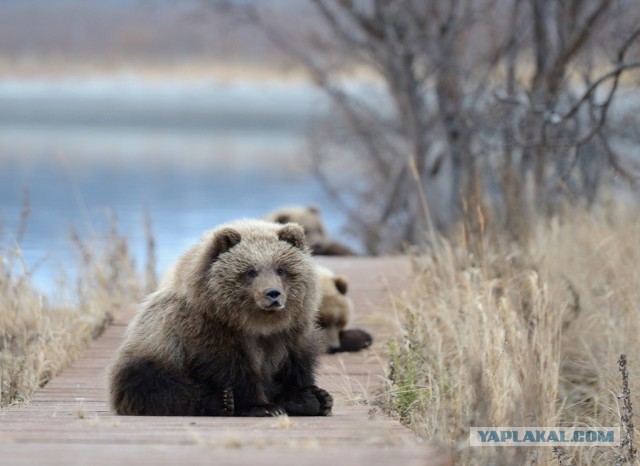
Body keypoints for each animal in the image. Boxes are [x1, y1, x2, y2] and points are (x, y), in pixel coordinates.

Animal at [107, 220, 332, 416]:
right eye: (251, 271)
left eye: (281, 269)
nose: (273, 293)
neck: (257, 324)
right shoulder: (209, 330)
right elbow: (231, 369)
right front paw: (262, 407)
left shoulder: (291, 332)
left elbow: (295, 365)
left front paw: (308, 399)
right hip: (152, 350)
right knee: (156, 383)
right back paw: (221, 401)